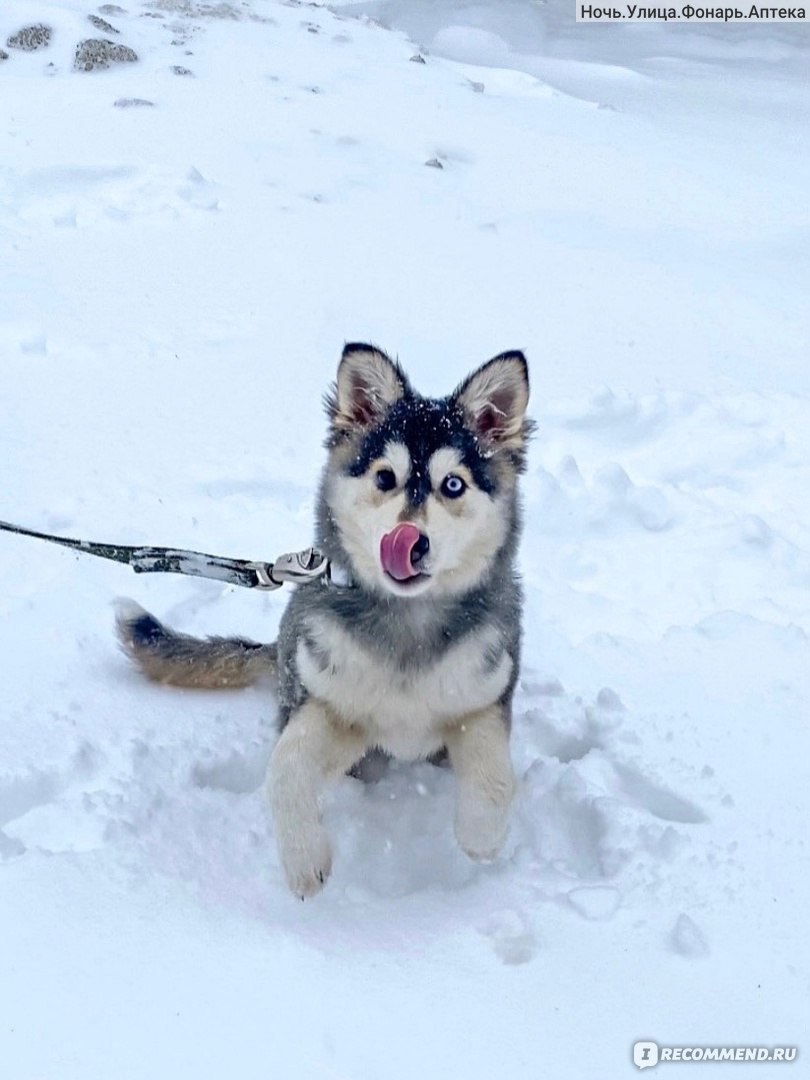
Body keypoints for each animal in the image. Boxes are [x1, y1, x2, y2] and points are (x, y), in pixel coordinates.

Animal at [115, 343, 533, 894]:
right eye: (384, 477)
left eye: (453, 484)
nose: (410, 542)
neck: (406, 622)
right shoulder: (333, 703)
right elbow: (286, 769)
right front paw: (304, 860)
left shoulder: (481, 696)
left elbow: (495, 776)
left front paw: (481, 837)